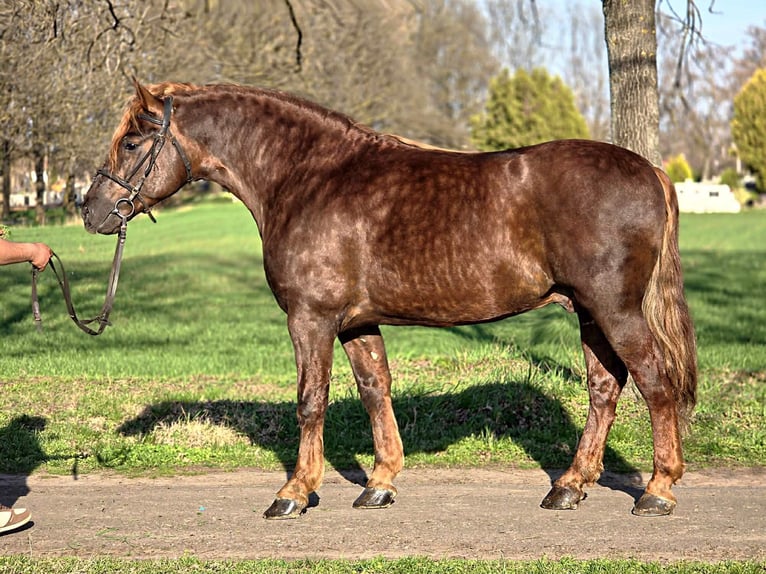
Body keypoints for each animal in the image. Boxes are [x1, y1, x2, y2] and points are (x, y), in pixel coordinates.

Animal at [82, 80, 697, 520]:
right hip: (588, 311)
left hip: (615, 309)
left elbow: (311, 400)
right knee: (604, 389)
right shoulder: (356, 323)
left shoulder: (312, 318)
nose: (91, 210)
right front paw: (379, 483)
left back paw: (658, 490)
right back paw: (570, 486)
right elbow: (375, 391)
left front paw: (294, 492)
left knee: (654, 383)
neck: (308, 177)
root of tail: (651, 171)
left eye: (132, 142)